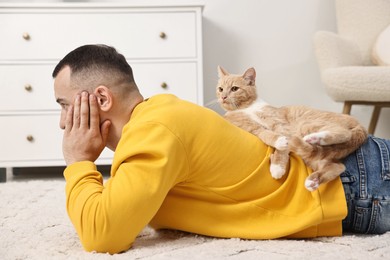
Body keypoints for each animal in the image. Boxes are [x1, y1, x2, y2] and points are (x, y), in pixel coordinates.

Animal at [216, 65, 366, 191]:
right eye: (220, 89)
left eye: (234, 89)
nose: (223, 97)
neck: (247, 108)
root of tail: (359, 123)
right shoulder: (251, 128)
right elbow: (265, 134)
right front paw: (278, 143)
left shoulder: (279, 124)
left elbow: (281, 148)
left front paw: (277, 166)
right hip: (314, 156)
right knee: (337, 166)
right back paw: (313, 180)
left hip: (306, 125)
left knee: (344, 133)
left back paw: (317, 138)